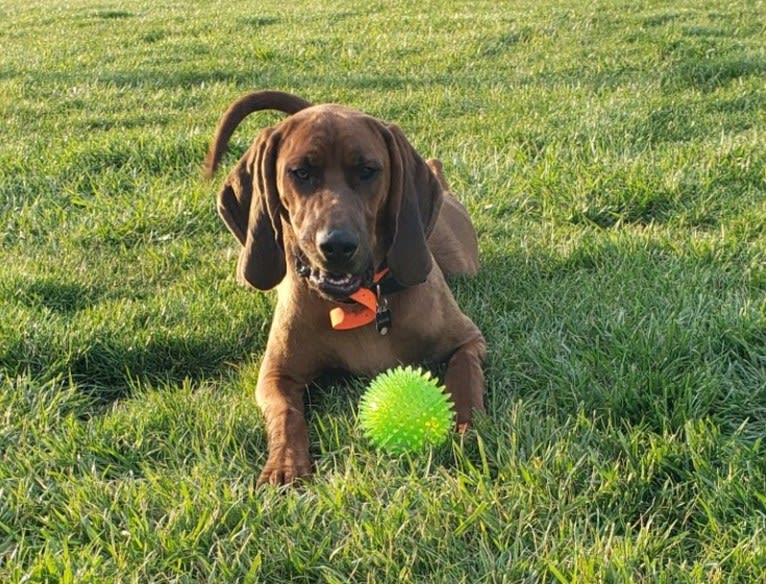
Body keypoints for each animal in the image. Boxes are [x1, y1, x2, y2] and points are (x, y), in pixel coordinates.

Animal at [206, 90, 486, 484]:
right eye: (301, 172)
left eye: (368, 171)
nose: (337, 245)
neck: (361, 302)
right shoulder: (276, 374)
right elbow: (286, 415)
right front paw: (285, 465)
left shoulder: (469, 341)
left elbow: (465, 378)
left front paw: (467, 429)